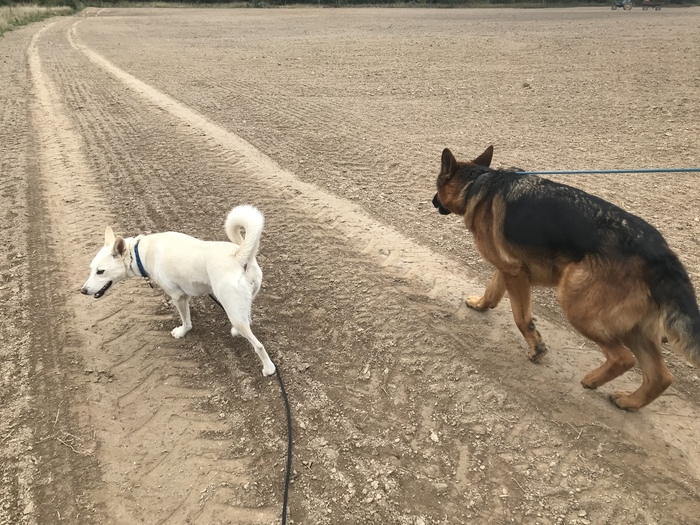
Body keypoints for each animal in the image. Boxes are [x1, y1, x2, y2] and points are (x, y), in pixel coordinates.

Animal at [82, 205, 276, 376]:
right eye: (91, 269)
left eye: (100, 271)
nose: (83, 290)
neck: (139, 252)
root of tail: (238, 256)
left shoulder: (178, 297)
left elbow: (186, 321)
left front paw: (182, 332)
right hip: (242, 302)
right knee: (248, 318)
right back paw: (237, 332)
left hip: (232, 309)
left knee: (258, 345)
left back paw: (268, 369)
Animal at [432, 146, 700, 410]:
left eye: (438, 184)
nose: (432, 200)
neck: (477, 182)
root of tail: (660, 253)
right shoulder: (510, 268)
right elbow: (492, 290)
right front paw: (481, 305)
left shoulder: (514, 273)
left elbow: (521, 318)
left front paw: (536, 347)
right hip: (633, 327)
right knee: (661, 376)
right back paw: (629, 402)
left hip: (577, 306)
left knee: (623, 358)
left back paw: (592, 380)